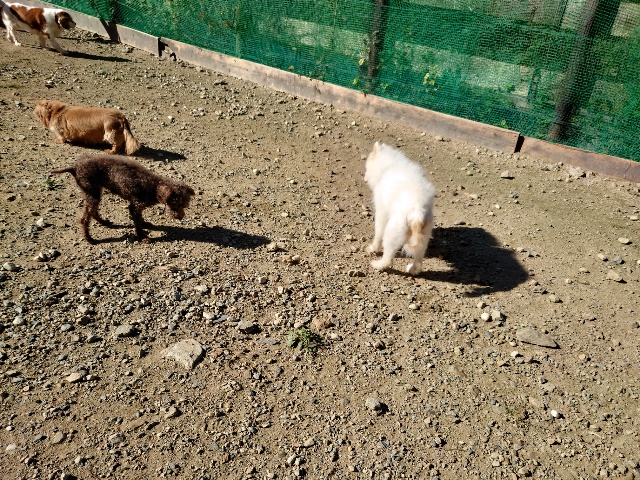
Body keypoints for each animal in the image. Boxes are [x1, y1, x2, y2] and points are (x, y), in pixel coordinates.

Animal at [51, 154, 196, 244]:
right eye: (175, 206)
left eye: (185, 205)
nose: (180, 217)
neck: (154, 187)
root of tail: (74, 167)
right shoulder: (135, 206)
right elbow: (137, 224)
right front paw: (143, 237)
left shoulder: (136, 206)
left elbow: (140, 220)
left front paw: (145, 224)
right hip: (91, 191)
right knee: (84, 219)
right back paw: (89, 238)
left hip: (94, 192)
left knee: (93, 212)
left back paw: (104, 222)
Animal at [364, 142, 436, 275]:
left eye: (366, 168)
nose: (364, 178)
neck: (388, 165)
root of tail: (419, 210)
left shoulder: (381, 212)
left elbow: (378, 234)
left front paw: (372, 248)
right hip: (424, 237)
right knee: (418, 259)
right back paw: (412, 270)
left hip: (392, 233)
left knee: (388, 257)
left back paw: (378, 265)